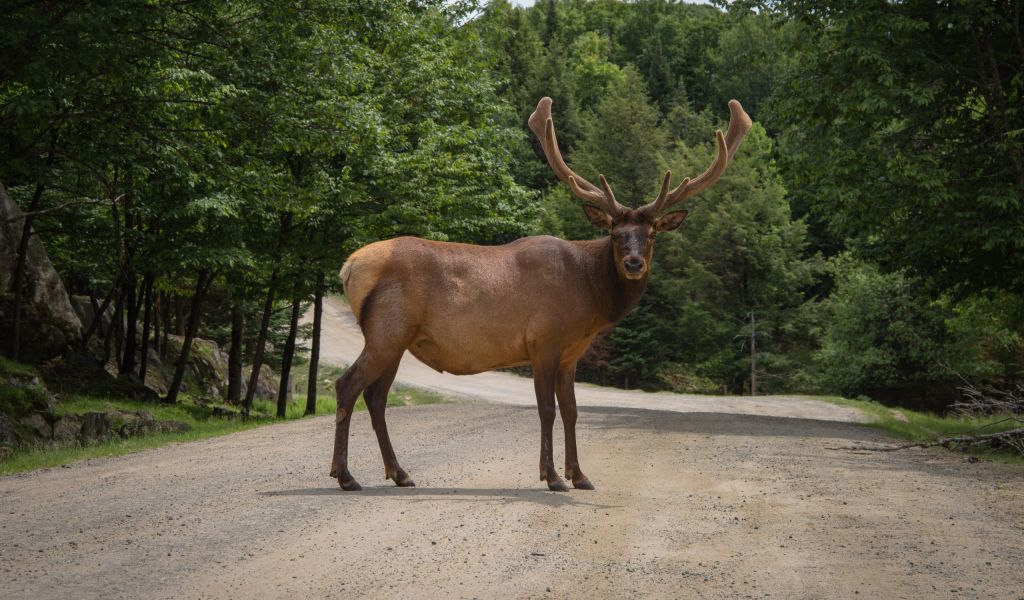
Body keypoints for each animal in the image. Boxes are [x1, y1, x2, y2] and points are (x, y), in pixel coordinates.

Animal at [329, 96, 753, 491]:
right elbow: (547, 410)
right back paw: (345, 475)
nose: (634, 263)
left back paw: (399, 473)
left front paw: (580, 474)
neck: (590, 298)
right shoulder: (543, 341)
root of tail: (349, 266)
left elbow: (572, 410)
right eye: (615, 234)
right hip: (387, 329)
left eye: (650, 236)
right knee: (348, 385)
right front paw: (552, 476)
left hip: (397, 338)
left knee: (376, 396)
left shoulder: (571, 353)